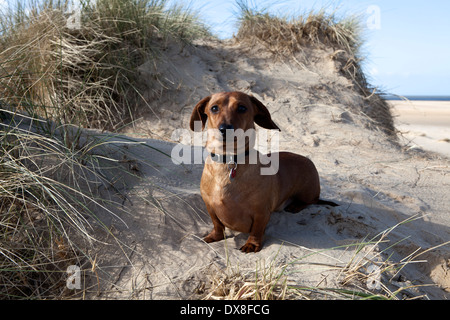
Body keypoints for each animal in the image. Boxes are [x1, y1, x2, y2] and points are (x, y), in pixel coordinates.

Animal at [189, 92, 334, 252]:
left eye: (242, 108)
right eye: (214, 108)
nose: (225, 129)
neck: (230, 161)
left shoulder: (261, 213)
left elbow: (257, 230)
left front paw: (251, 244)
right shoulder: (210, 206)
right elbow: (217, 224)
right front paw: (215, 236)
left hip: (307, 192)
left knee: (311, 200)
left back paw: (295, 206)